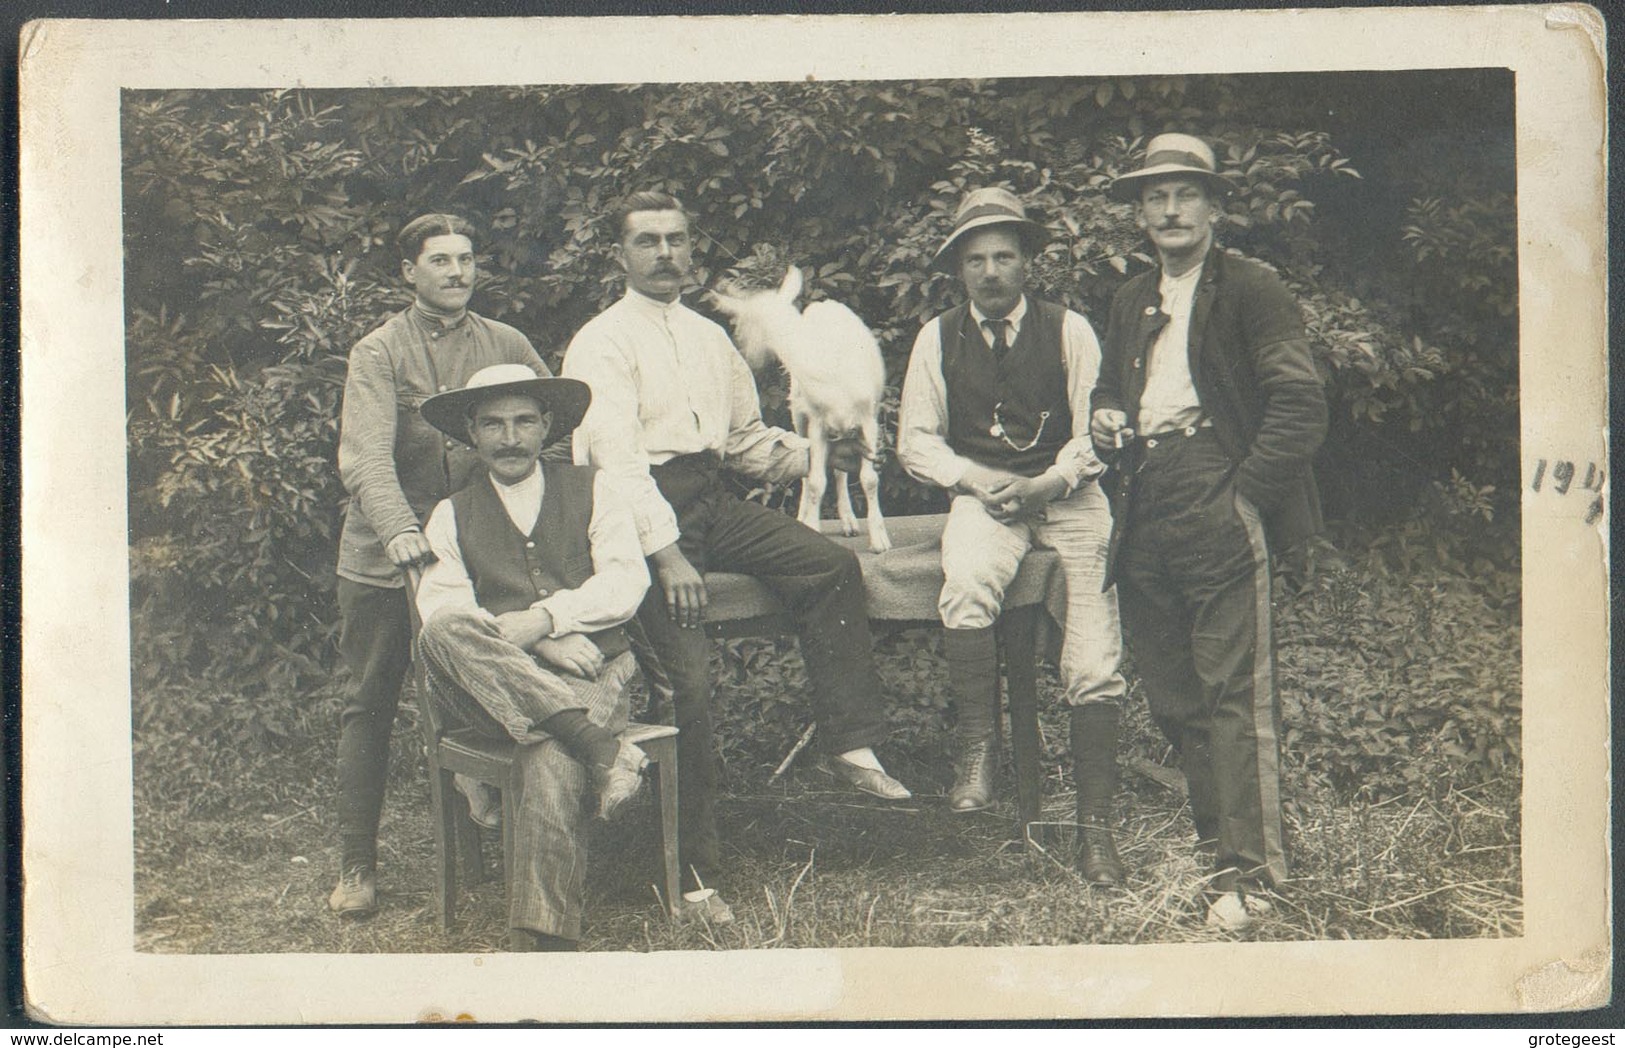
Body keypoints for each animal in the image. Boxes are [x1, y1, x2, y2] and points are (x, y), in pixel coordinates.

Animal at [708, 266, 890, 552]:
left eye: (745, 322)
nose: (747, 355)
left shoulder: (868, 418)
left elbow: (869, 480)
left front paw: (880, 540)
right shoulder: (816, 421)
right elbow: (816, 482)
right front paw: (812, 528)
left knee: (839, 472)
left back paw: (849, 522)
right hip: (799, 415)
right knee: (809, 471)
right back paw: (808, 518)